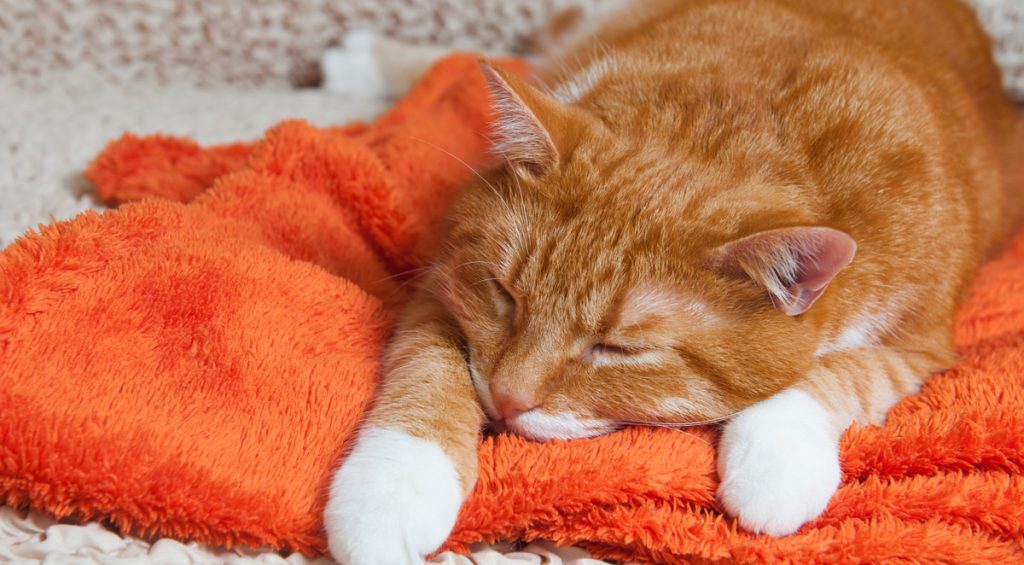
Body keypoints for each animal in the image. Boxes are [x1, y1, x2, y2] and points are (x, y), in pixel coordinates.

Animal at [323, 0, 1019, 560]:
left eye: (618, 350)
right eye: (505, 295)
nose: (505, 399)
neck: (722, 129)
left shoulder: (920, 342)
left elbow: (843, 372)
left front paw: (775, 466)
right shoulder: (444, 279)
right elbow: (427, 370)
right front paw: (389, 494)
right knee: (506, 51)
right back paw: (365, 61)